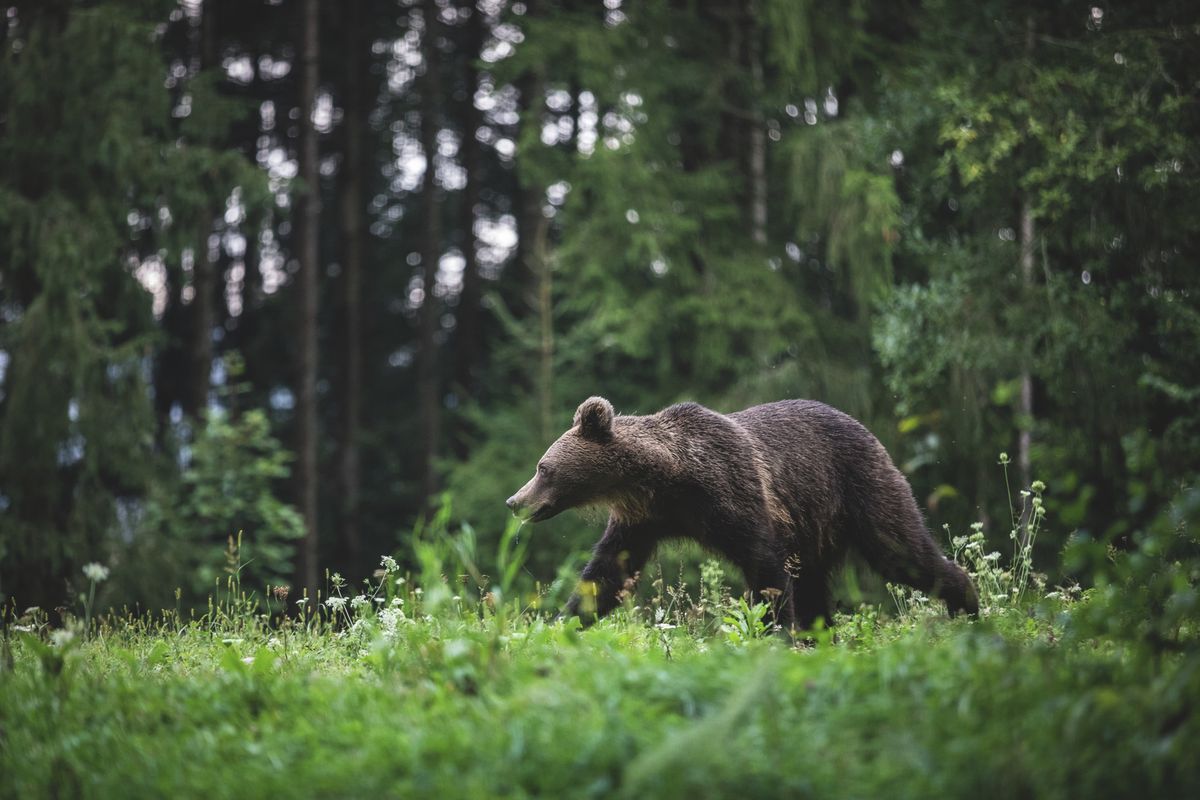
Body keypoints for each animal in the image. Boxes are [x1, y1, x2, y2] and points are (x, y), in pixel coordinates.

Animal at [501, 398, 979, 628]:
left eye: (543, 467)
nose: (514, 501)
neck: (665, 477)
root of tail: (868, 430)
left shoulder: (732, 492)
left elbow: (764, 566)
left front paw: (773, 631)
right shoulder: (643, 520)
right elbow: (606, 576)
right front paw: (560, 624)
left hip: (860, 486)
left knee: (901, 550)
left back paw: (967, 606)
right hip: (816, 525)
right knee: (815, 586)